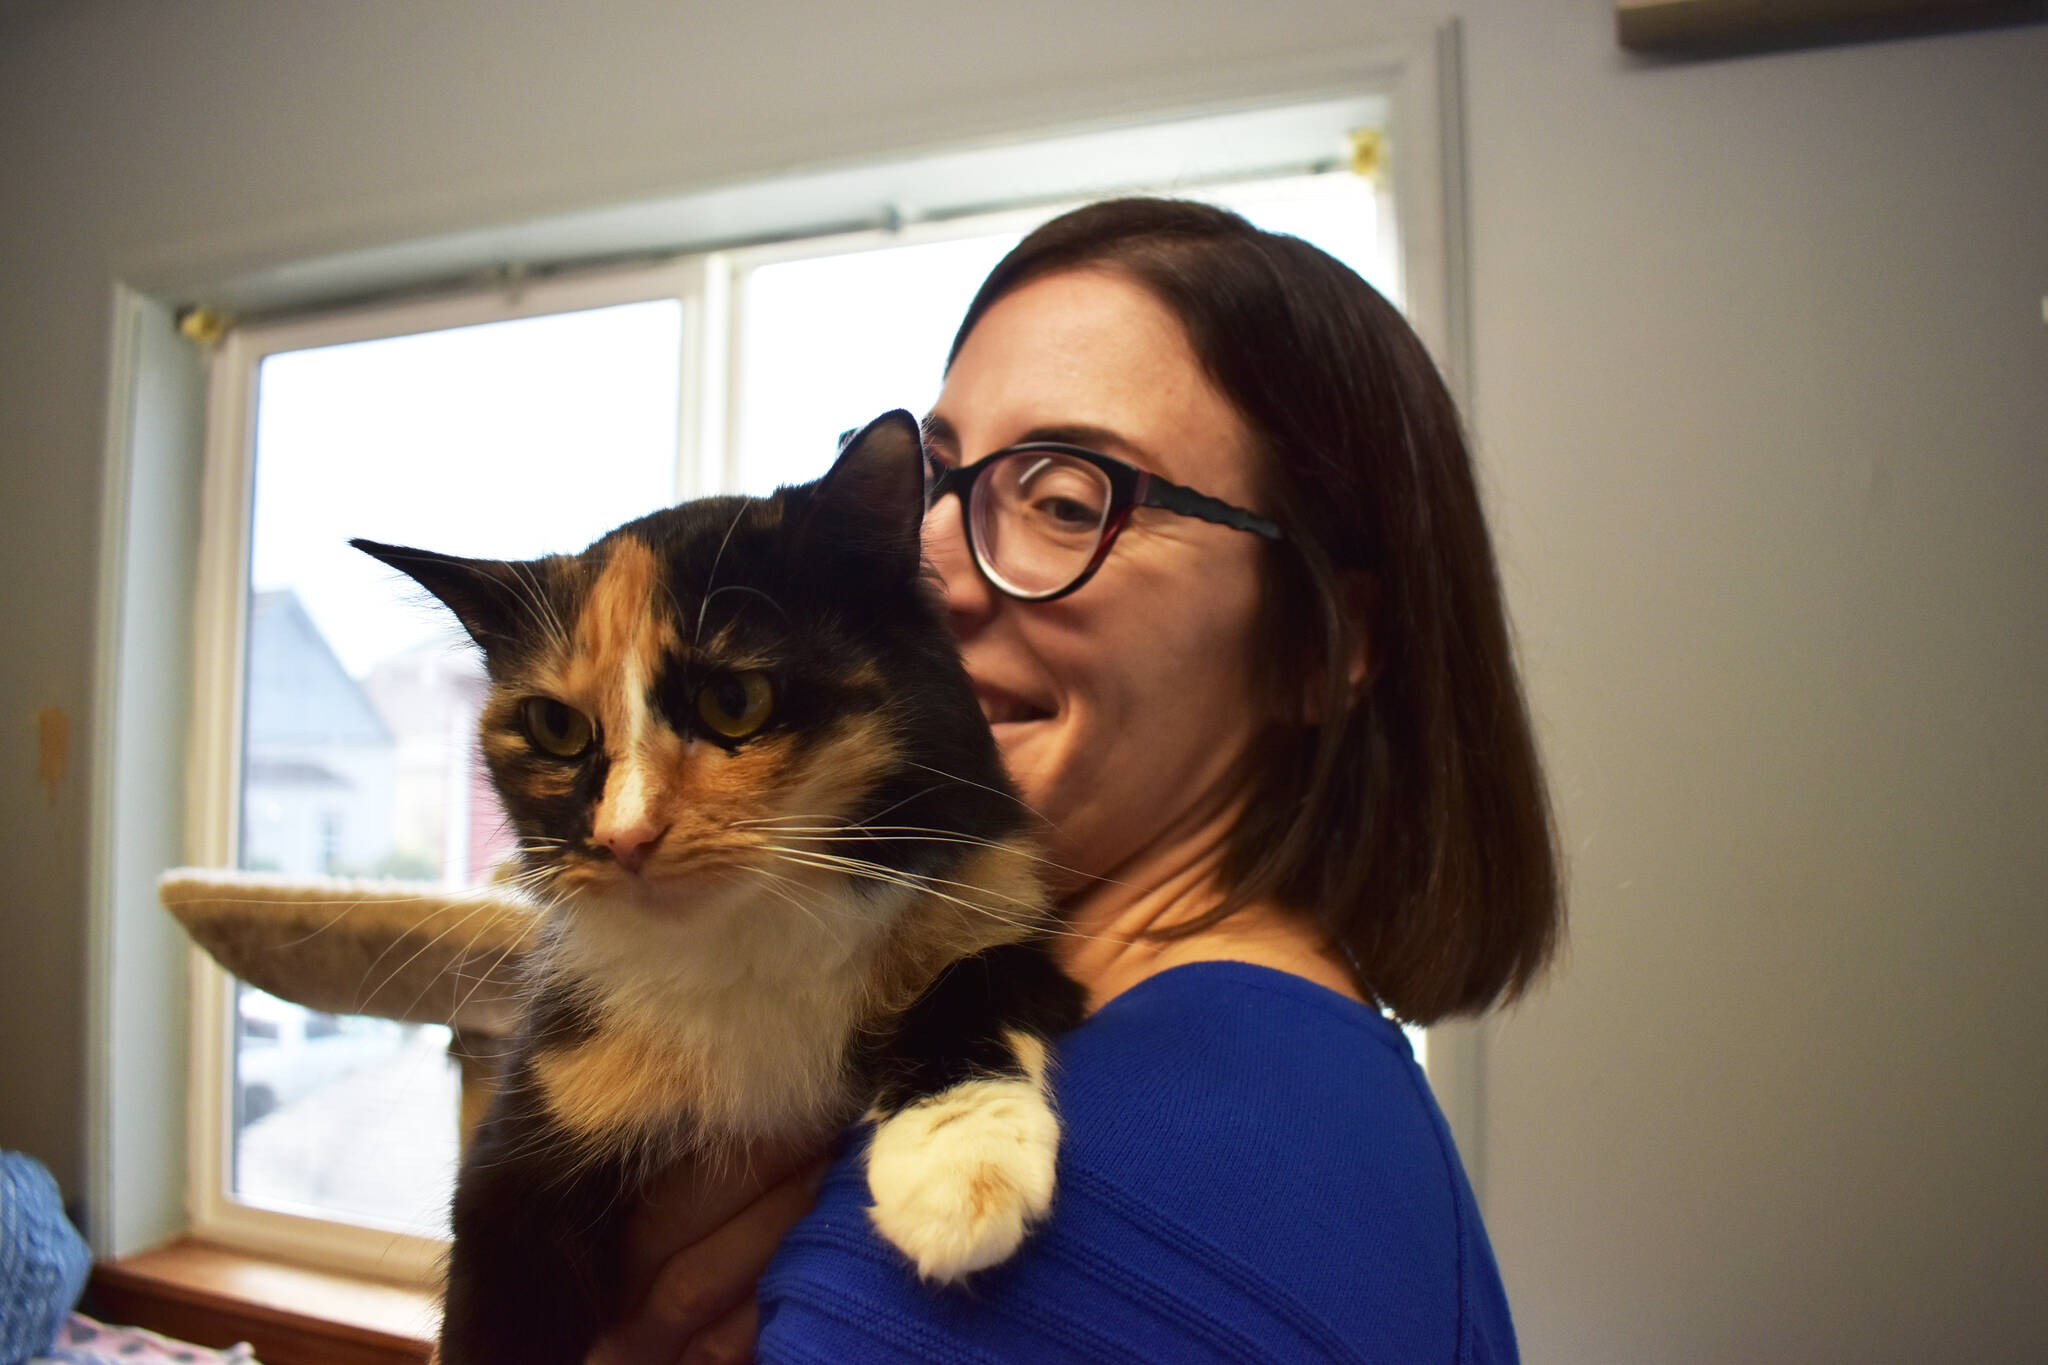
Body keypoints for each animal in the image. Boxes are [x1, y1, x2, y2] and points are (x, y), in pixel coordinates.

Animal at [358, 413, 1081, 1365]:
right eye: (555, 726)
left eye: (734, 700)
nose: (623, 836)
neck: (750, 938)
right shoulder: (530, 1139)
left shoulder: (997, 892)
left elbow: (973, 979)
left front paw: (960, 1169)